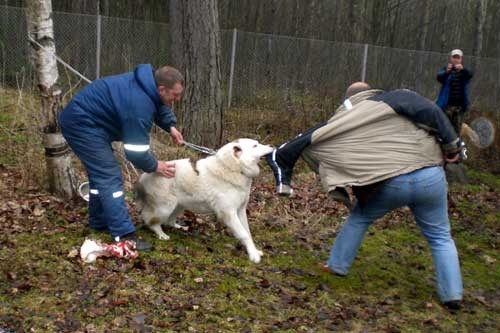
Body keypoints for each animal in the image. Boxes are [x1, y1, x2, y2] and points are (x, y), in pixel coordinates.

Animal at [133, 137, 274, 262]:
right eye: (255, 145)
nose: (272, 146)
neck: (234, 167)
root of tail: (145, 175)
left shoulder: (241, 210)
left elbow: (248, 232)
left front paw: (254, 251)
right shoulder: (228, 213)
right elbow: (244, 234)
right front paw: (253, 256)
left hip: (179, 205)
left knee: (169, 221)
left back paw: (179, 227)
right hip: (165, 207)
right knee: (150, 219)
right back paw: (160, 233)